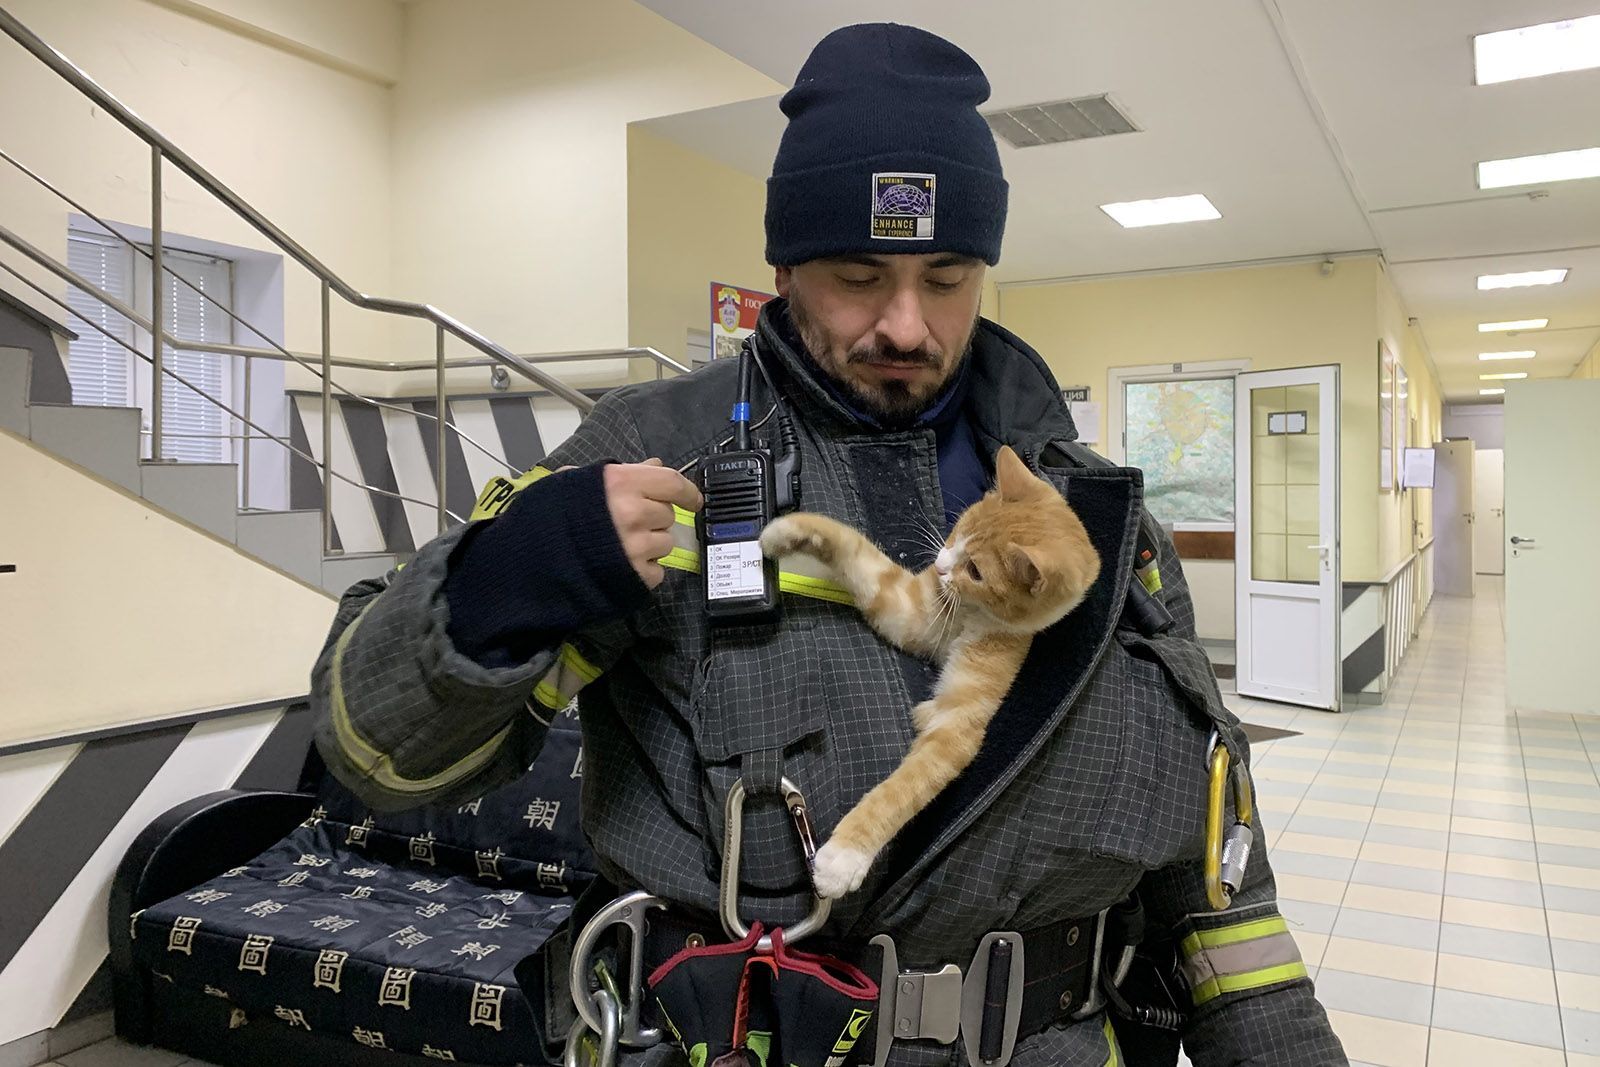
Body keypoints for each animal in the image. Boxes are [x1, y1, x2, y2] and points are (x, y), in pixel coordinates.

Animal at [761, 447, 1100, 895]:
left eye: (975, 571)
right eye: (960, 527)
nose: (939, 567)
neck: (967, 617)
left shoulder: (957, 726)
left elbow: (903, 790)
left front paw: (846, 855)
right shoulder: (909, 612)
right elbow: (855, 551)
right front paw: (786, 530)